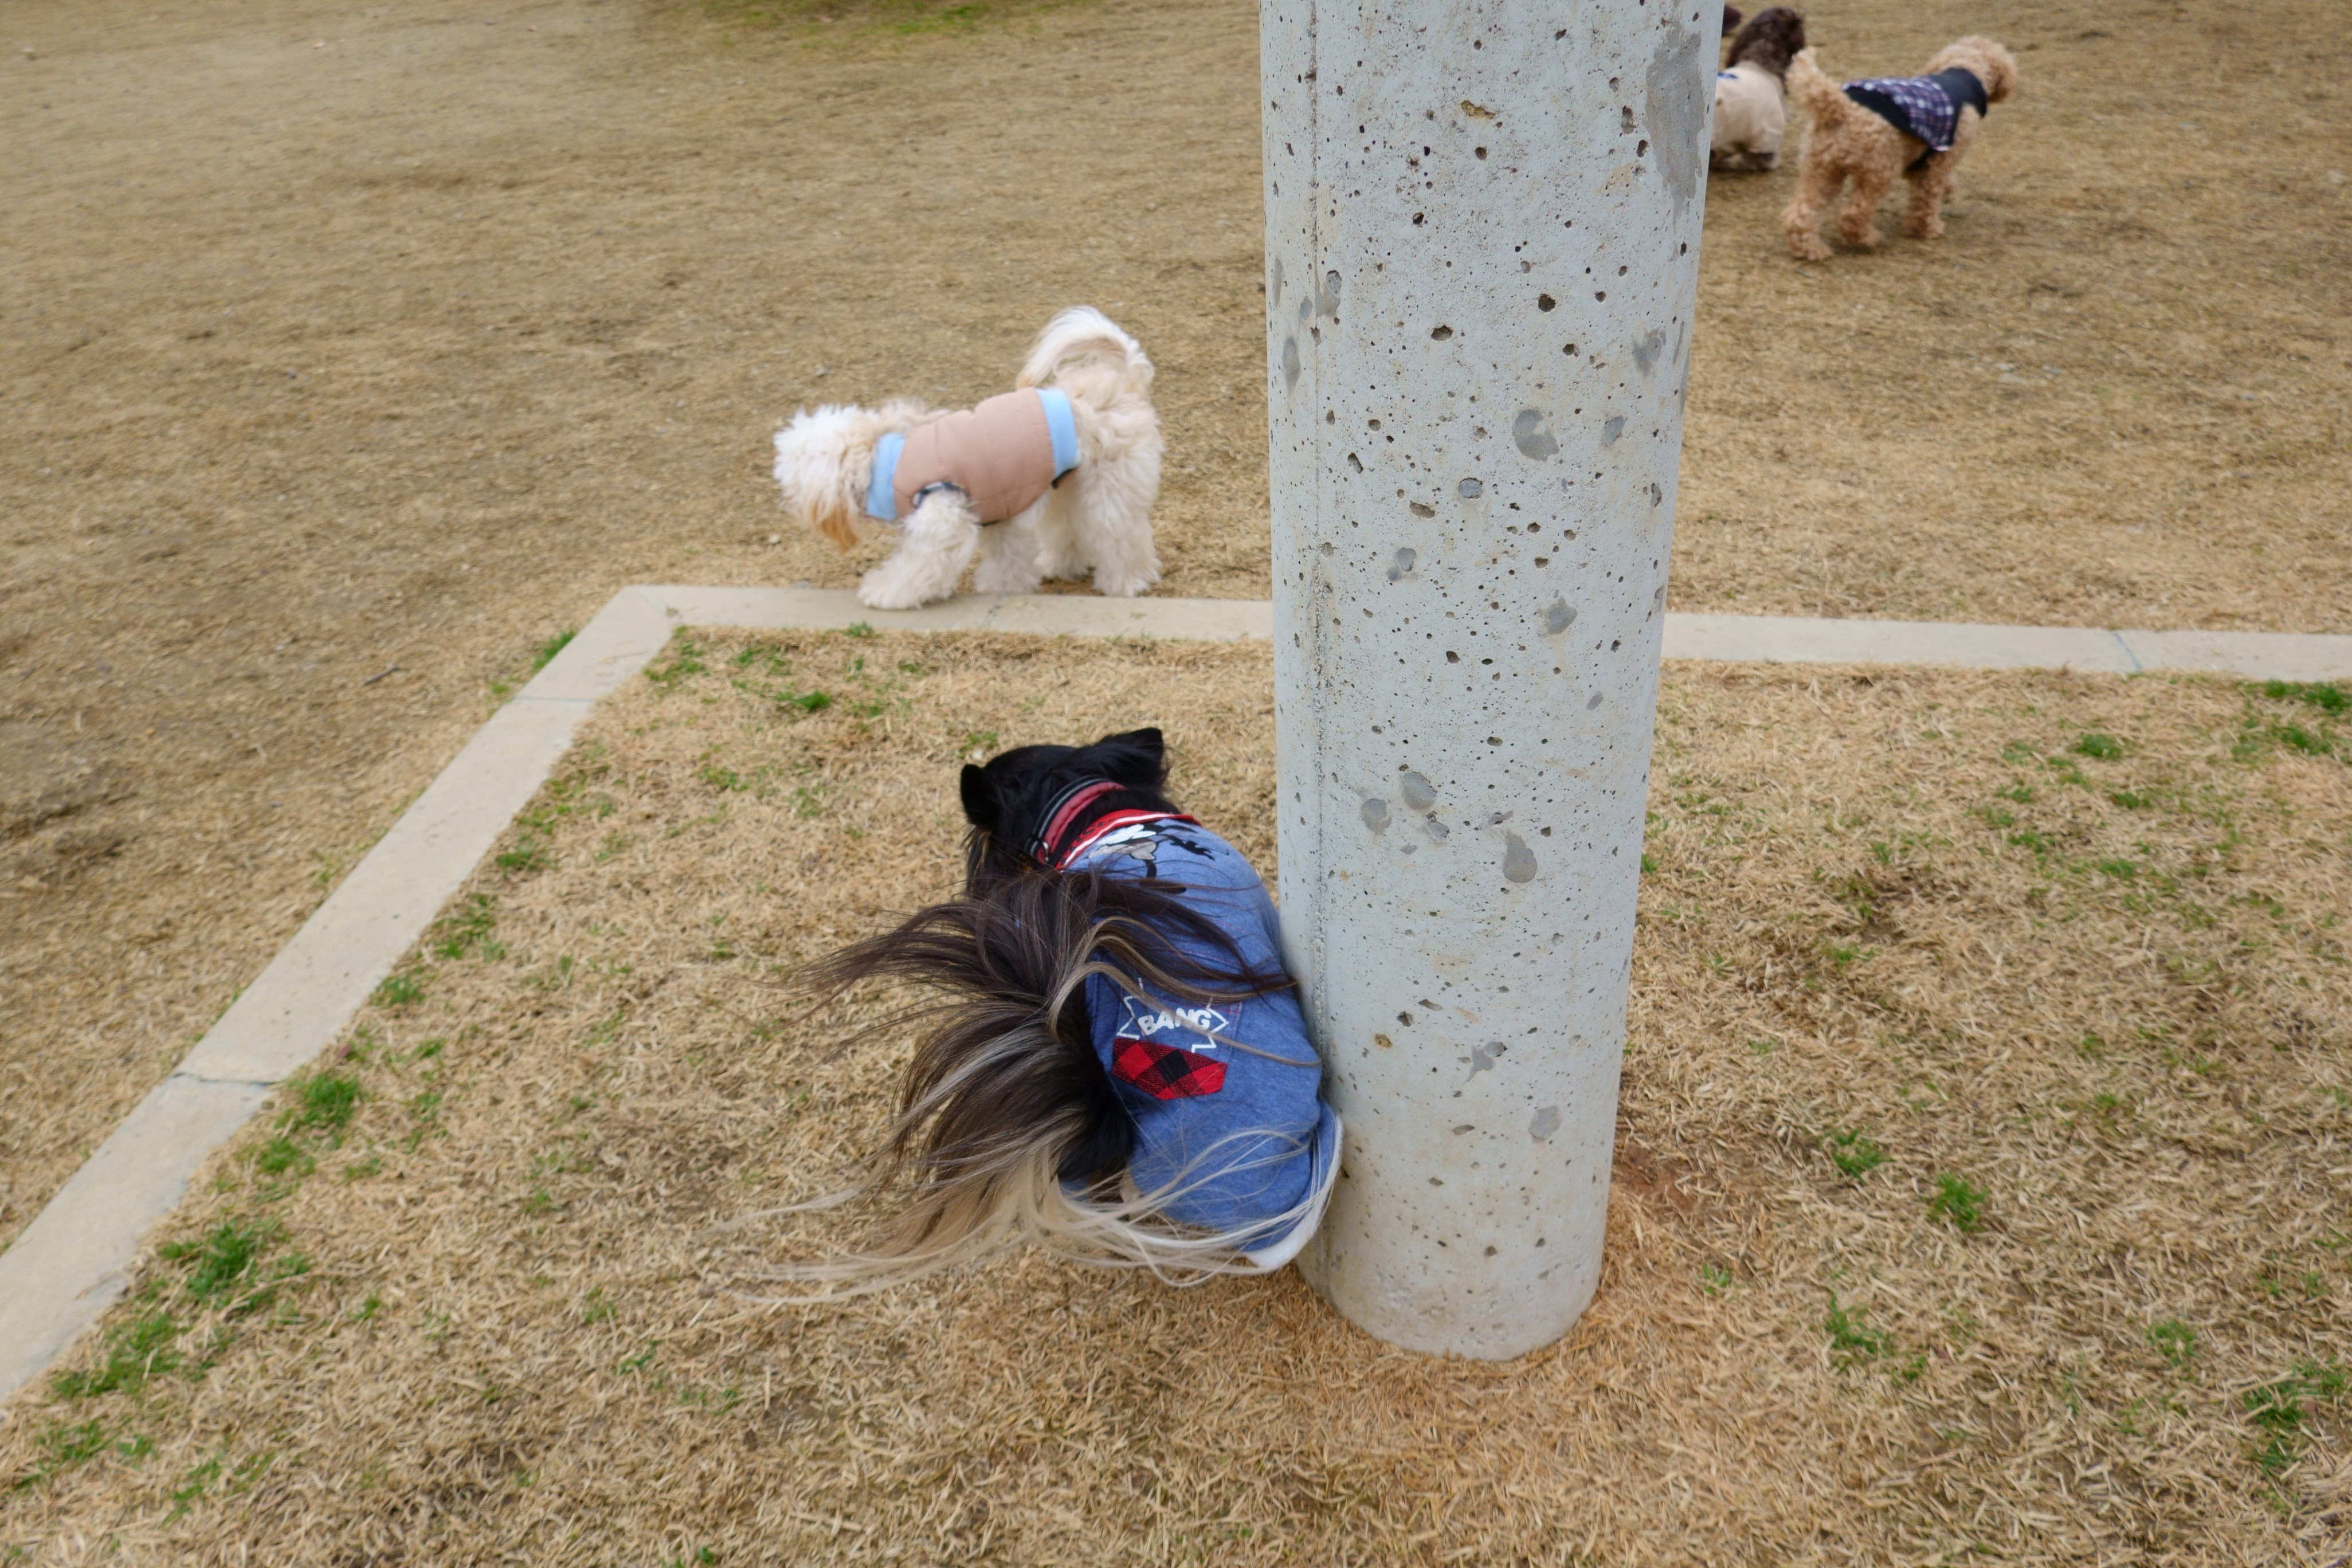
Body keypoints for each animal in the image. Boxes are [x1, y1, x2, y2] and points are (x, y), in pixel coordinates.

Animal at [776, 308, 1162, 611]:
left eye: (789, 481)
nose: (786, 504)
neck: (884, 461)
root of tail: (1127, 379)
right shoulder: (1000, 513)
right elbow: (1008, 557)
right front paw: (1003, 587)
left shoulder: (943, 516)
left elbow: (916, 565)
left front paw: (885, 592)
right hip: (1067, 485)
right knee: (1069, 526)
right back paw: (1060, 565)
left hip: (1109, 489)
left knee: (1122, 534)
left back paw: (1129, 581)